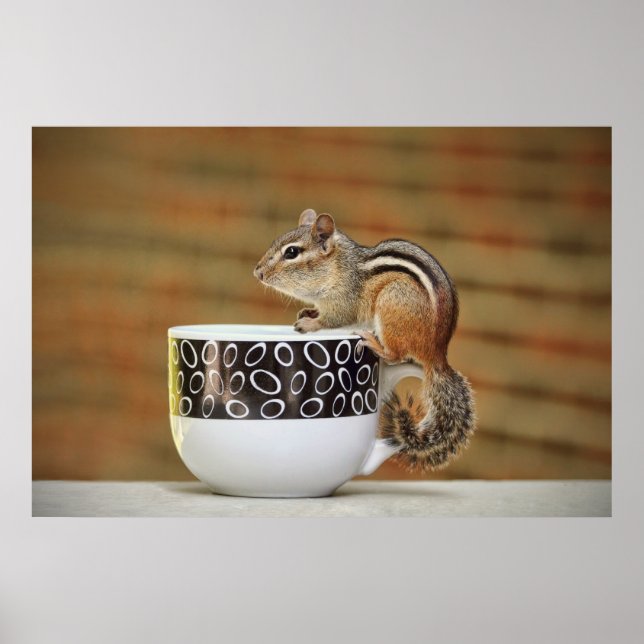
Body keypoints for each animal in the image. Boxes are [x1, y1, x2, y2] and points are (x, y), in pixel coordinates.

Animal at [253, 208, 476, 471]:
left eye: (291, 252)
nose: (257, 272)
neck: (339, 267)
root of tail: (437, 354)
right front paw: (308, 312)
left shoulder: (344, 300)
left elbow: (334, 319)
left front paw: (310, 323)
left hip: (392, 303)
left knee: (396, 355)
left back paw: (371, 341)